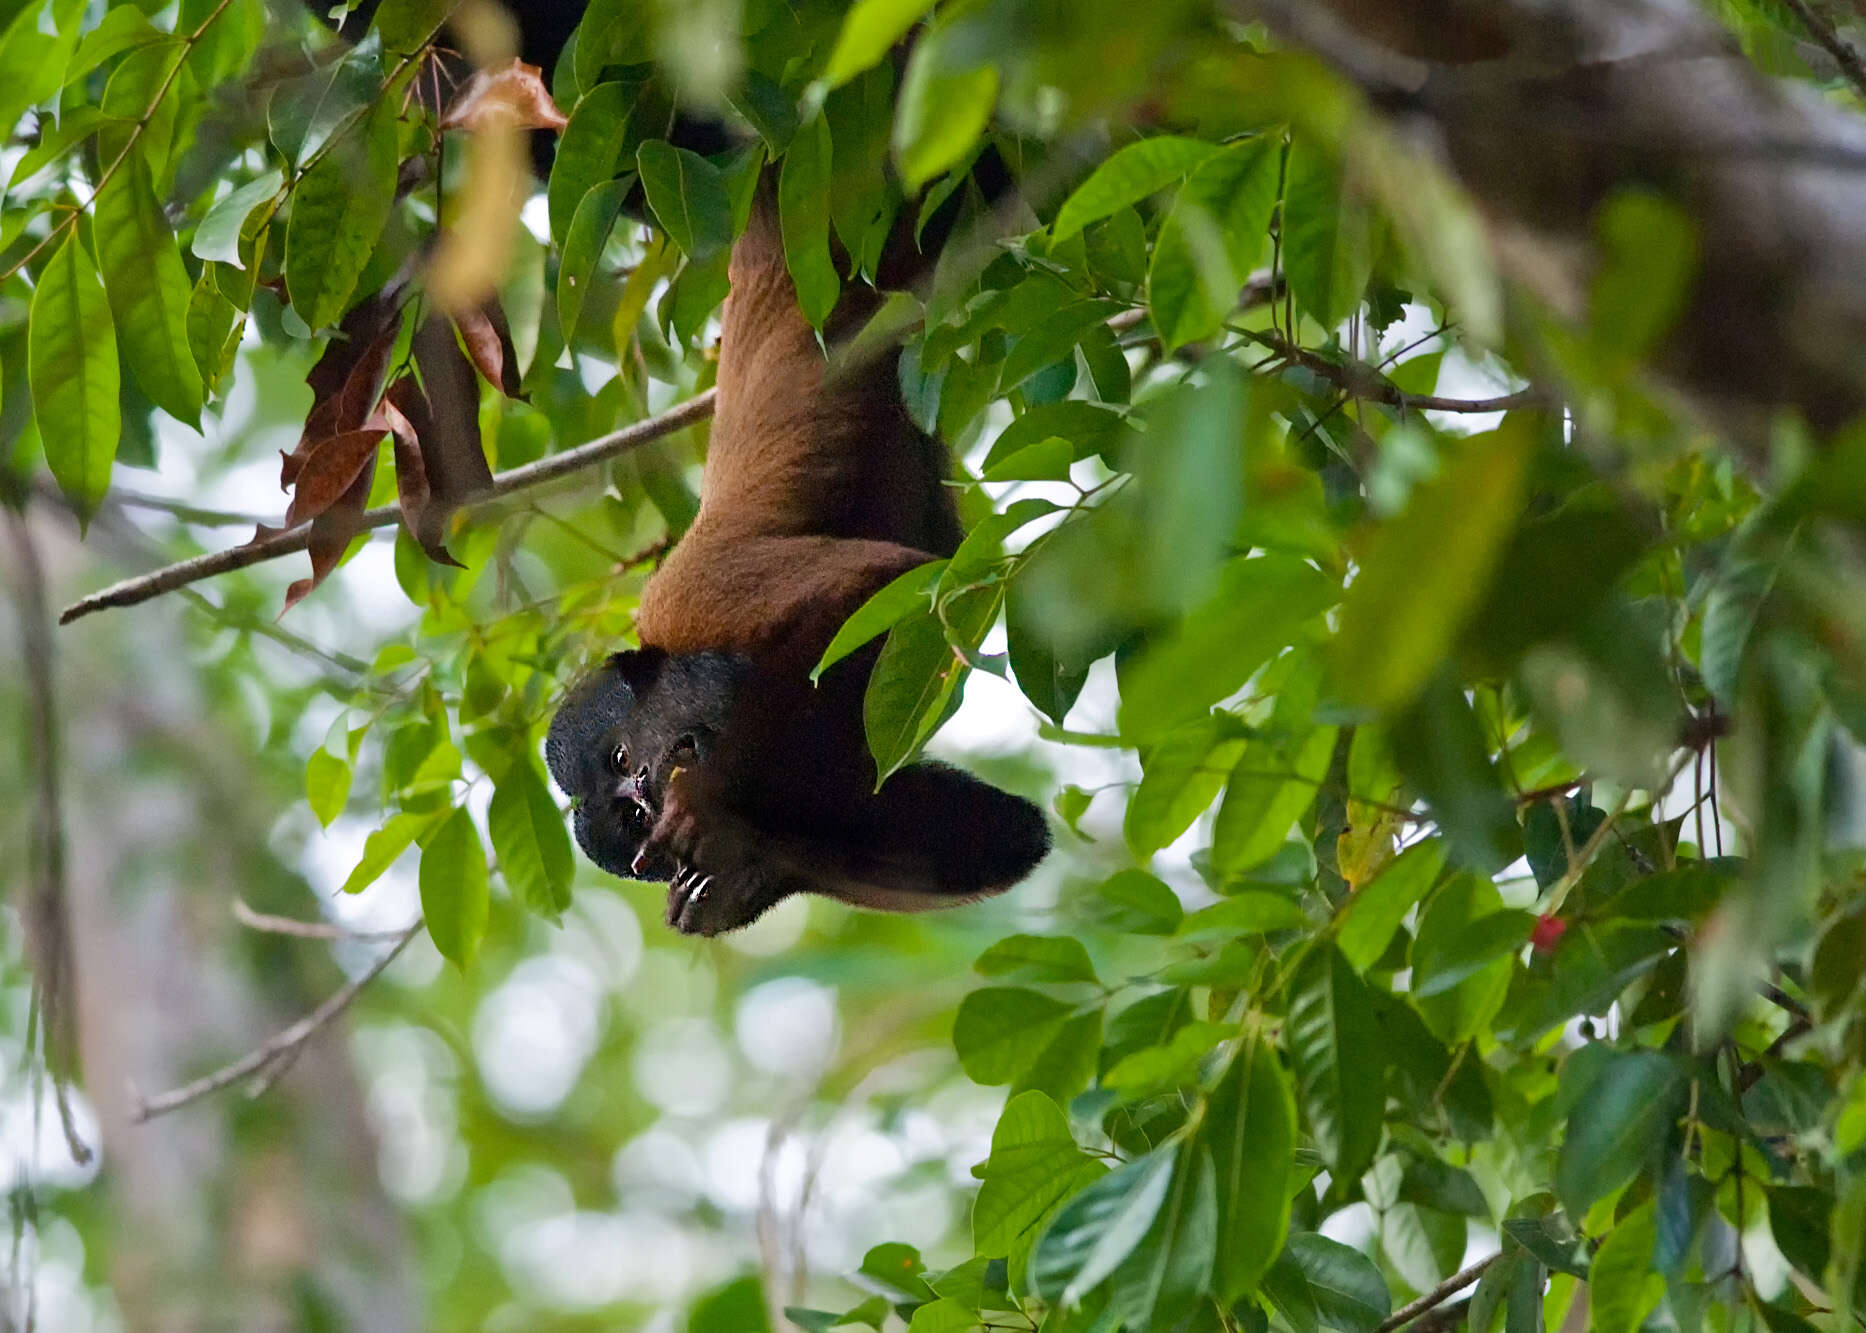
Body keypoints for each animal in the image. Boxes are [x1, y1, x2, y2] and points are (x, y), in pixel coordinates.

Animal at [544, 176, 1059, 929]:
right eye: (630, 818)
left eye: (619, 757)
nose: (643, 786)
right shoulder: (810, 790)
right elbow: (1011, 834)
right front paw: (746, 862)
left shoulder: (689, 599)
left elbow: (881, 580)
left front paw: (708, 806)